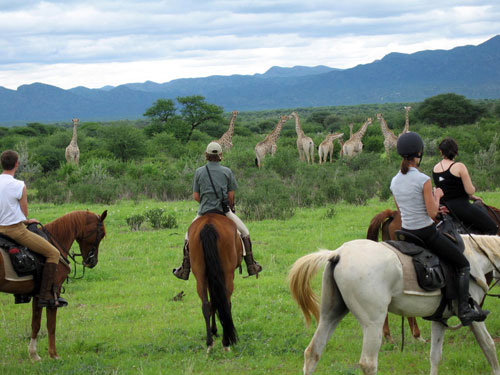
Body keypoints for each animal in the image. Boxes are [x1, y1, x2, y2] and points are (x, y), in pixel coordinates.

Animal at [0, 212, 106, 362]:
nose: (92, 261)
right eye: (101, 233)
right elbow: (51, 325)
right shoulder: (53, 293)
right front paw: (54, 354)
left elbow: (36, 324)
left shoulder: (38, 294)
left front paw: (34, 354)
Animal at [188, 214, 242, 352]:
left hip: (200, 275)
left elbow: (213, 301)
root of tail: (209, 225)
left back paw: (209, 344)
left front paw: (213, 330)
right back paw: (226, 343)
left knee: (206, 305)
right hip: (228, 274)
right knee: (226, 304)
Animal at [288, 236, 500, 374]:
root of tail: (338, 254)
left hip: (331, 315)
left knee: (313, 353)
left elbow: (435, 357)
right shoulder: (473, 318)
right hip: (373, 324)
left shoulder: (440, 319)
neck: (474, 259)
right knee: (368, 363)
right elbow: (489, 346)